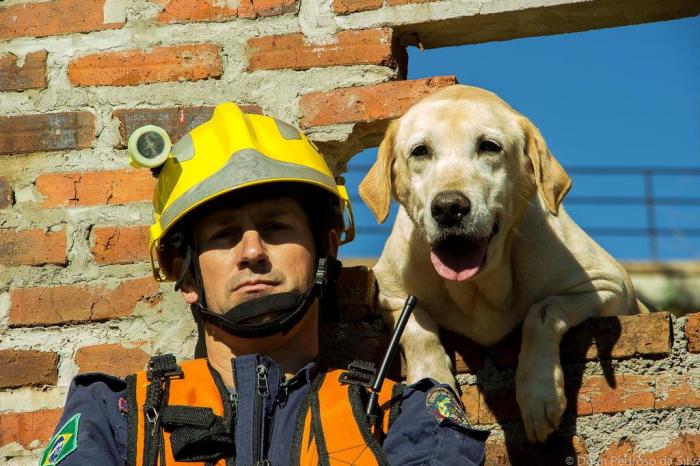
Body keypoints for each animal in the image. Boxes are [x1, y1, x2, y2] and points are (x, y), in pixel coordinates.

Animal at [358, 84, 648, 444]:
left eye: (489, 146)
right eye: (420, 151)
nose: (449, 207)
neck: (477, 286)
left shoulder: (610, 284)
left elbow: (542, 312)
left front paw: (538, 394)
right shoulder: (387, 291)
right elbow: (416, 326)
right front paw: (430, 375)